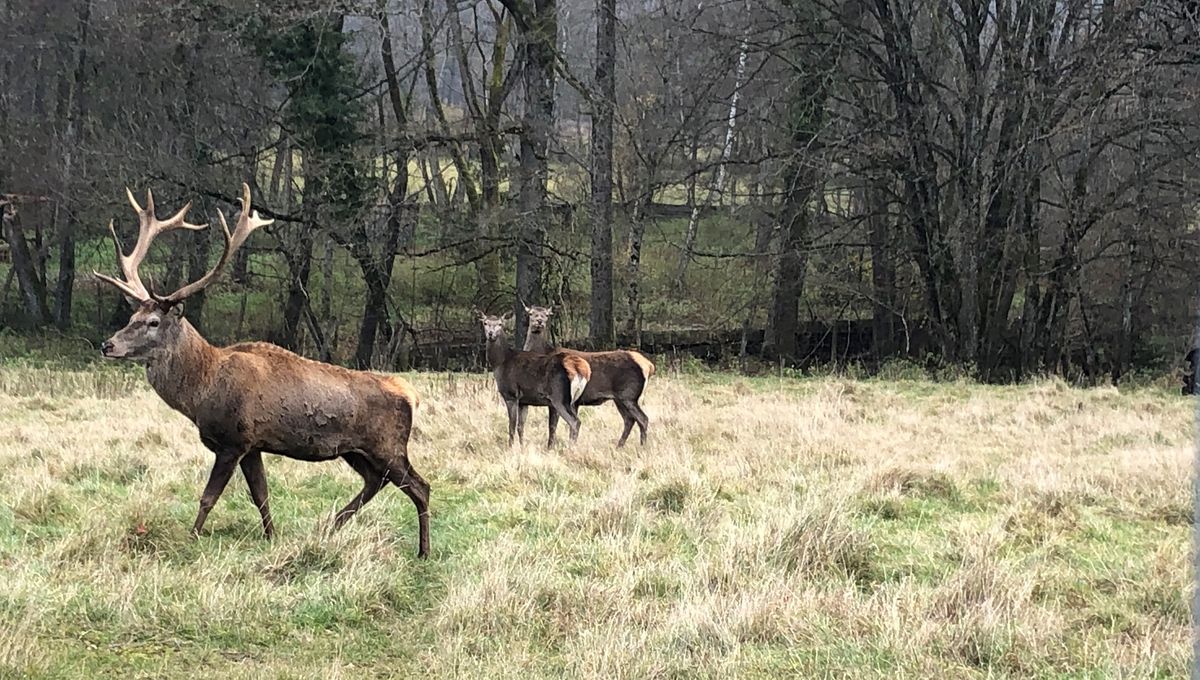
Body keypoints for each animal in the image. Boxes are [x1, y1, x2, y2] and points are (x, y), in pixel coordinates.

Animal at [96, 183, 432, 556]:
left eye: (153, 321)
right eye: (131, 317)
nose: (108, 344)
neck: (201, 392)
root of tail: (411, 395)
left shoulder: (233, 440)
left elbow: (208, 497)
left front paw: (191, 538)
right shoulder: (253, 445)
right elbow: (261, 495)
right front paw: (271, 536)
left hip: (388, 445)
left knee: (421, 486)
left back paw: (423, 551)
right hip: (355, 450)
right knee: (377, 481)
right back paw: (332, 525)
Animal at [477, 311, 590, 446]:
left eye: (500, 324)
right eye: (485, 323)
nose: (491, 334)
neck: (500, 363)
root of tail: (580, 370)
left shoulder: (511, 394)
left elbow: (511, 426)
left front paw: (510, 447)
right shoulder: (524, 401)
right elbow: (520, 426)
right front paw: (522, 446)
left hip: (559, 396)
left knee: (574, 422)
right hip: (573, 399)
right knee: (577, 421)